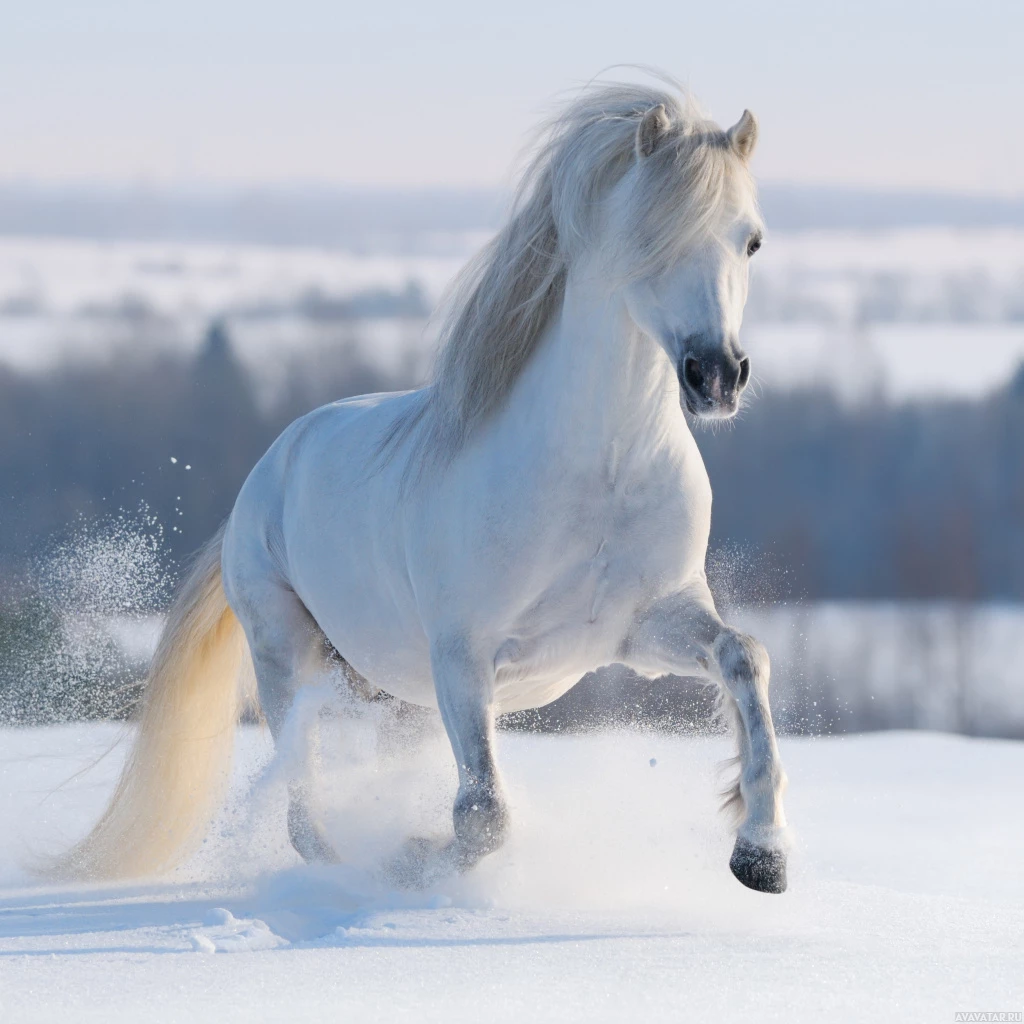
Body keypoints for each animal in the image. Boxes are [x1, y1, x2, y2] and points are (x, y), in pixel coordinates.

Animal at [59, 77, 786, 897]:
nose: (716, 376)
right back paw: (346, 871)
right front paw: (412, 861)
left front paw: (762, 854)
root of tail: (268, 468)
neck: (598, 473)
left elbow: (745, 656)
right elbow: (483, 816)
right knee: (303, 806)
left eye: (751, 240)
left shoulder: (643, 626)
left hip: (394, 693)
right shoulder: (463, 657)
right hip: (288, 655)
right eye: (651, 236)